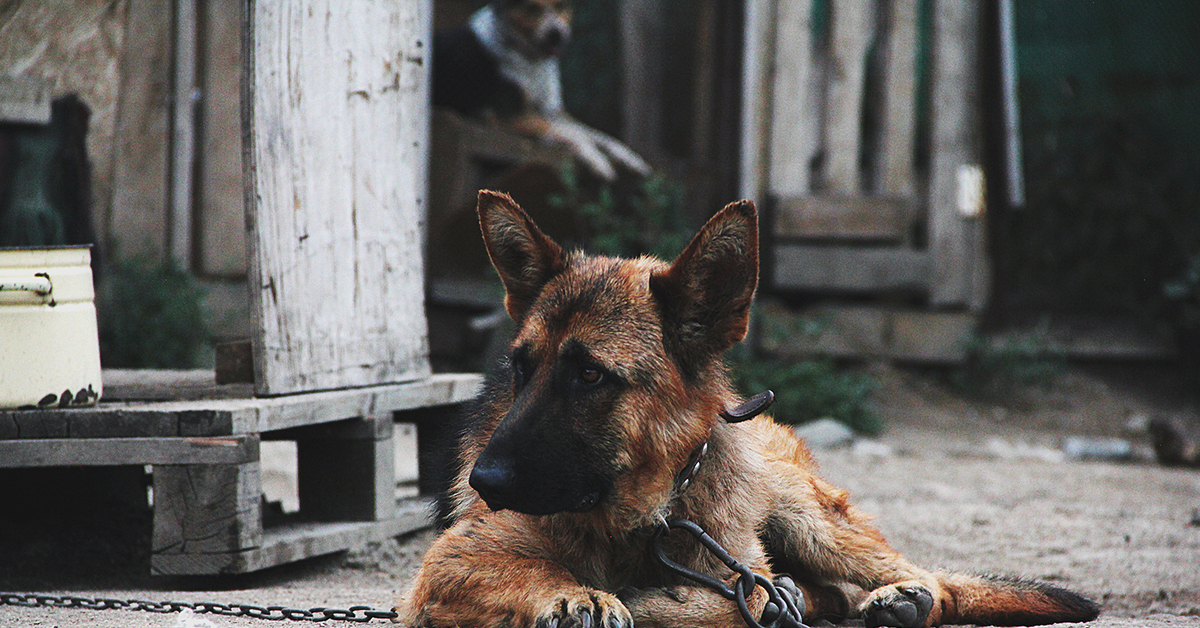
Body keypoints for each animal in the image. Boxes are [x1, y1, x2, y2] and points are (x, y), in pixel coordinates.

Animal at [396, 192, 1104, 628]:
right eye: (520, 368)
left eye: (590, 376)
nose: (481, 482)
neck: (641, 518)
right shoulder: (447, 564)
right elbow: (528, 572)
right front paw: (576, 596)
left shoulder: (732, 573)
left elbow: (725, 604)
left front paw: (642, 599)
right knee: (826, 592)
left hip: (809, 521)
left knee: (925, 578)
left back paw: (899, 596)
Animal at [436, 0, 652, 181]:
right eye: (533, 8)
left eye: (560, 5)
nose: (556, 34)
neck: (531, 60)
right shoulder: (505, 115)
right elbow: (573, 134)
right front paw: (597, 161)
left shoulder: (551, 110)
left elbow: (596, 134)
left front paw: (630, 158)